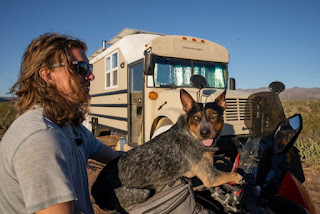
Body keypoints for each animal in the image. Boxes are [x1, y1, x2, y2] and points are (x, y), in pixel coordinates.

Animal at [92, 89, 242, 212]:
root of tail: (94, 189)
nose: (205, 132)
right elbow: (233, 175)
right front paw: (239, 178)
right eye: (196, 118)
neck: (190, 134)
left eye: (214, 115)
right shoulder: (211, 177)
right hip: (143, 192)